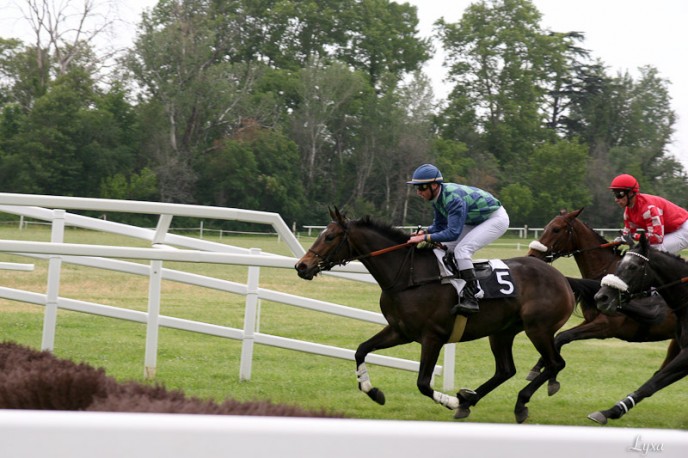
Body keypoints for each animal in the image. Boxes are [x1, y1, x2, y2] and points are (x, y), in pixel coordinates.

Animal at [292, 208, 576, 422]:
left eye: (330, 237)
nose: (301, 266)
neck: (407, 276)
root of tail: (562, 278)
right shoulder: (400, 331)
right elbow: (361, 350)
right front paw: (373, 391)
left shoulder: (433, 337)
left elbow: (423, 383)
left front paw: (450, 400)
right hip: (502, 332)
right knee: (506, 370)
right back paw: (469, 400)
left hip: (538, 328)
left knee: (555, 363)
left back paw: (516, 403)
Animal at [528, 208, 676, 380]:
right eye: (545, 227)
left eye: (556, 229)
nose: (532, 255)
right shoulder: (590, 320)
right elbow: (558, 336)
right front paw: (538, 368)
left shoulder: (606, 326)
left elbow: (562, 336)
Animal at [592, 234, 688, 424]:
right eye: (618, 264)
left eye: (633, 267)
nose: (601, 297)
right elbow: (655, 382)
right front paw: (611, 411)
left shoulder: (687, 354)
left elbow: (652, 383)